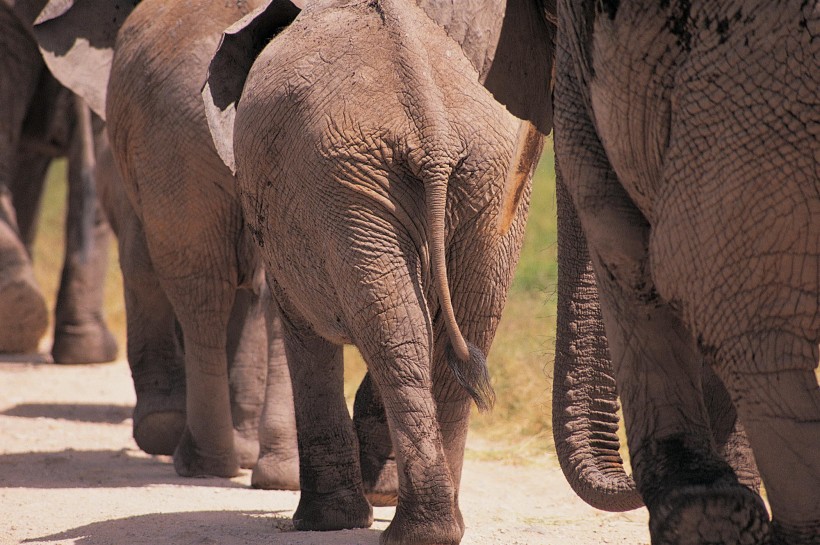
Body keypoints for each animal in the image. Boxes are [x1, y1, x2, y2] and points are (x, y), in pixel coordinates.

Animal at [201, 0, 552, 540]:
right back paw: (438, 530)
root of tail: (433, 131)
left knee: (397, 335)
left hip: (345, 186)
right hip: (482, 184)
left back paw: (411, 531)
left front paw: (324, 524)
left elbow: (301, 327)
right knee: (450, 331)